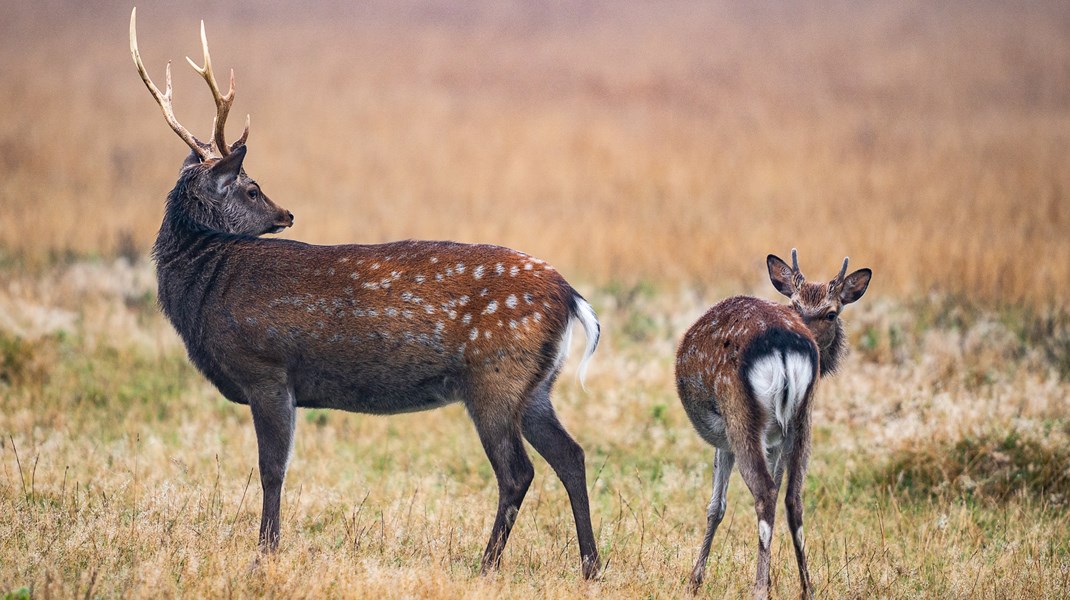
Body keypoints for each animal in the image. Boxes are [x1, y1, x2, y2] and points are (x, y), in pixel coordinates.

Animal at [127, 9, 603, 577]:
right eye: (253, 188)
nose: (287, 213)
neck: (209, 287)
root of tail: (570, 296)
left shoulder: (267, 369)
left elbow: (272, 469)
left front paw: (265, 553)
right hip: (536, 387)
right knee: (572, 455)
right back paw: (591, 565)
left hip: (496, 375)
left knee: (518, 471)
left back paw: (486, 564)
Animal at [676, 249, 868, 598]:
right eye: (795, 305)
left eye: (831, 314)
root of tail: (783, 346)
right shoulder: (777, 439)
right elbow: (779, 491)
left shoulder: (725, 439)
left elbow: (716, 506)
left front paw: (694, 581)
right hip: (803, 420)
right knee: (793, 497)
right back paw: (807, 588)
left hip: (739, 414)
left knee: (764, 494)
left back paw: (759, 588)